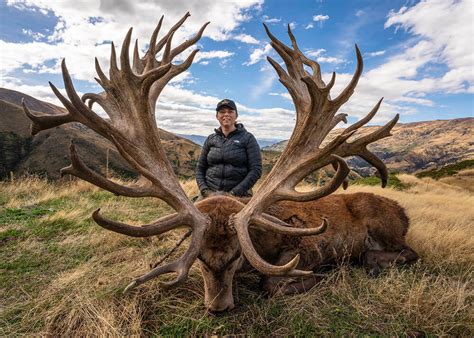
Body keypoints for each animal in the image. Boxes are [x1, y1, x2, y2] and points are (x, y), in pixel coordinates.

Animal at [23, 13, 418, 314]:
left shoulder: (308, 247)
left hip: (384, 227)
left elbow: (272, 281)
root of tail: (404, 212)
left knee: (406, 253)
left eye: (235, 258)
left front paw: (310, 279)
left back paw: (371, 263)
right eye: (198, 260)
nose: (218, 307)